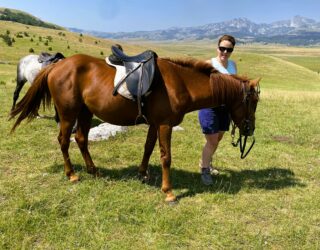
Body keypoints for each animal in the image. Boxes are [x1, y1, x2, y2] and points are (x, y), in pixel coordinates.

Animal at [9, 53, 260, 203]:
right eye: (253, 102)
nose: (249, 130)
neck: (180, 82)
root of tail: (57, 65)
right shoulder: (165, 125)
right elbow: (166, 156)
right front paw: (168, 191)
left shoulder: (155, 124)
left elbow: (148, 149)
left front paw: (142, 174)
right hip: (69, 114)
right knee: (63, 141)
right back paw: (71, 174)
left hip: (85, 113)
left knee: (81, 139)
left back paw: (93, 170)